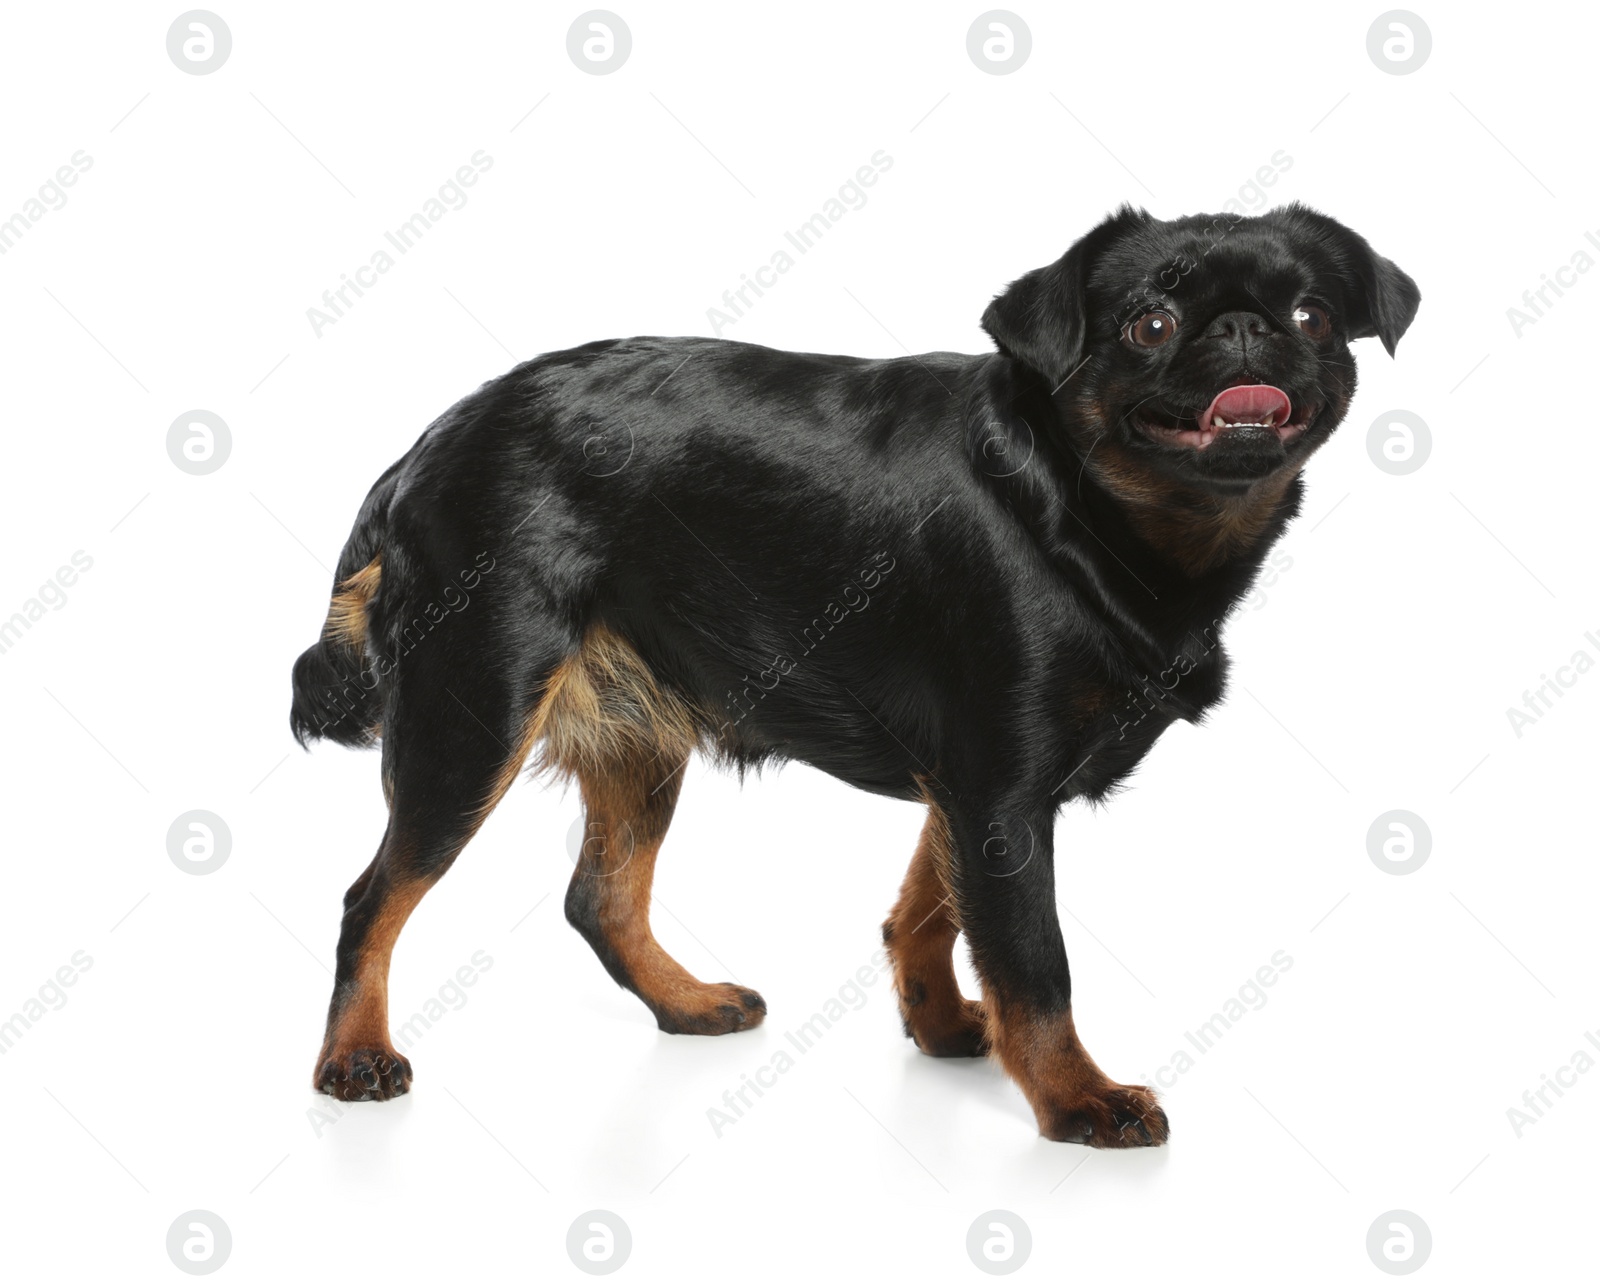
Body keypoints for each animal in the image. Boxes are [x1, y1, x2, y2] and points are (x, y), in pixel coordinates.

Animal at [288, 206, 1414, 1151]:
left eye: (1313, 316)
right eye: (1148, 324)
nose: (1245, 329)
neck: (1080, 503)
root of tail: (429, 447)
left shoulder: (969, 789)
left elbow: (928, 911)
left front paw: (942, 1023)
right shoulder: (1001, 793)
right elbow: (1033, 960)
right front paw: (1073, 1098)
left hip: (637, 734)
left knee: (599, 896)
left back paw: (685, 1002)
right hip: (473, 713)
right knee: (372, 896)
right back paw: (354, 1056)